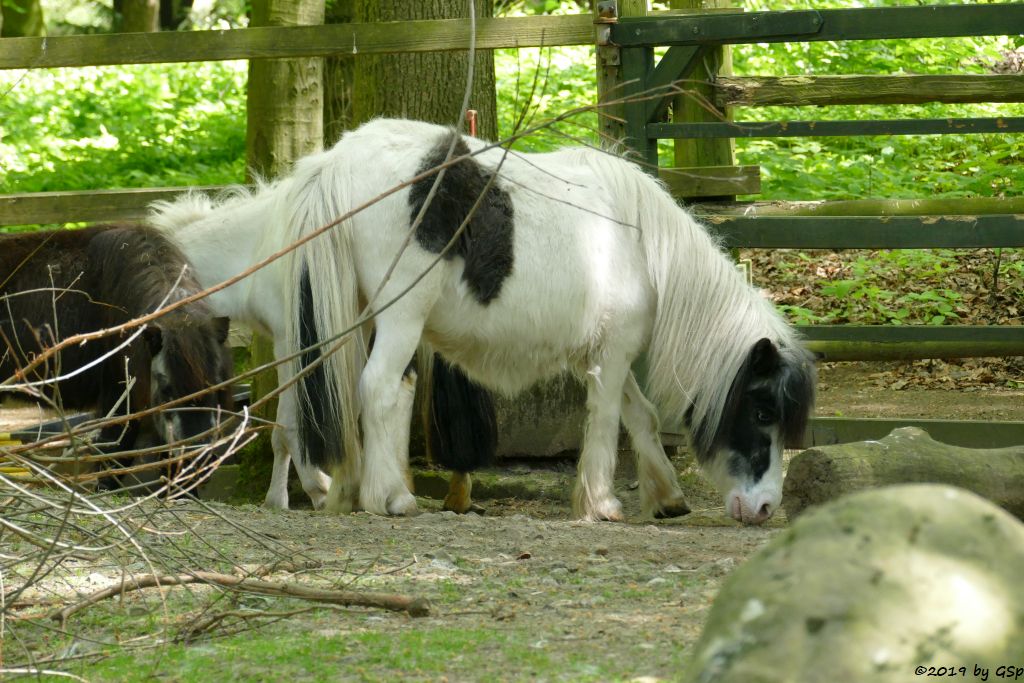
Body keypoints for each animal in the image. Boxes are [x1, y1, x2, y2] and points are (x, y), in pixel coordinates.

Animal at [151, 117, 815, 524]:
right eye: (763, 413)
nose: (764, 510)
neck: (645, 246)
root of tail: (336, 163)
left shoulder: (609, 352)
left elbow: (643, 419)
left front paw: (667, 496)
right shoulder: (613, 354)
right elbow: (606, 427)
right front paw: (601, 504)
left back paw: (345, 490)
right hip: (397, 316)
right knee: (376, 390)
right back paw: (390, 497)